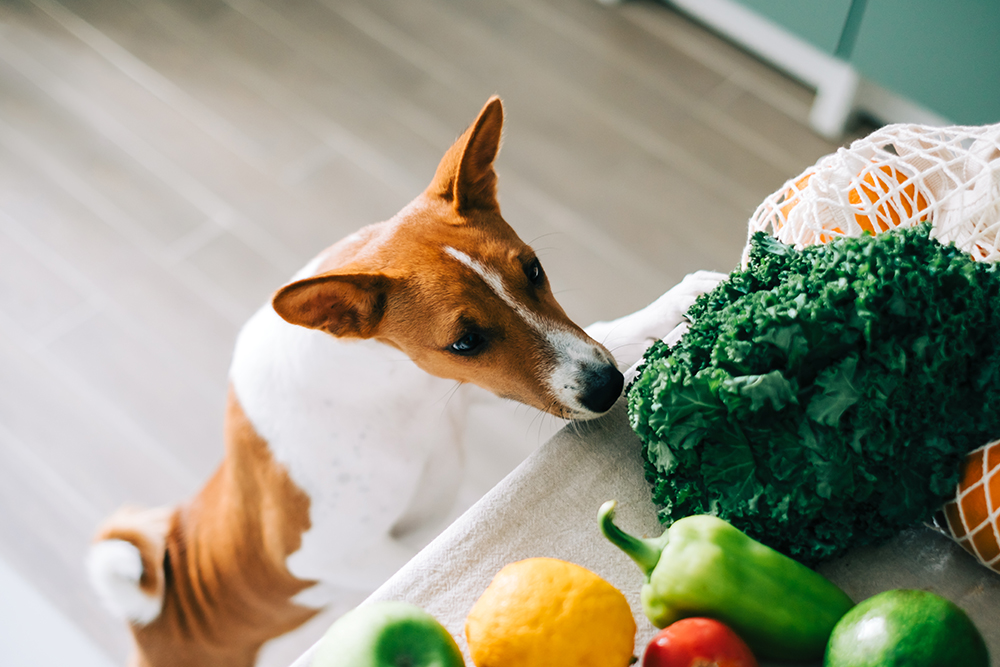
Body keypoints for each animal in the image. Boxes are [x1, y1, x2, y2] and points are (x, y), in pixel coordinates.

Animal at [86, 98, 728, 667]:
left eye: (534, 269)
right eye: (464, 342)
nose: (607, 388)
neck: (389, 391)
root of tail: (150, 621)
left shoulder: (476, 393)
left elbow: (604, 332)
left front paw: (681, 301)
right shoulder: (327, 555)